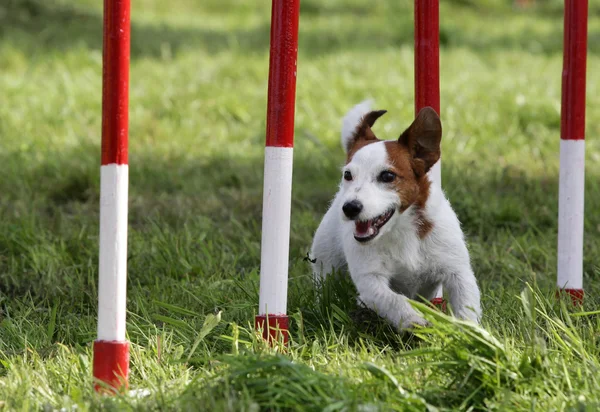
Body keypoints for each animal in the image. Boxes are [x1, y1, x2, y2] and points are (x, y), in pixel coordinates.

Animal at [310, 100, 482, 328]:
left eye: (387, 176)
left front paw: (469, 331)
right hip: (325, 262)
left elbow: (466, 305)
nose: (349, 208)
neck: (403, 228)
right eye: (348, 175)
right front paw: (414, 319)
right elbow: (394, 299)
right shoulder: (370, 279)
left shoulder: (458, 271)